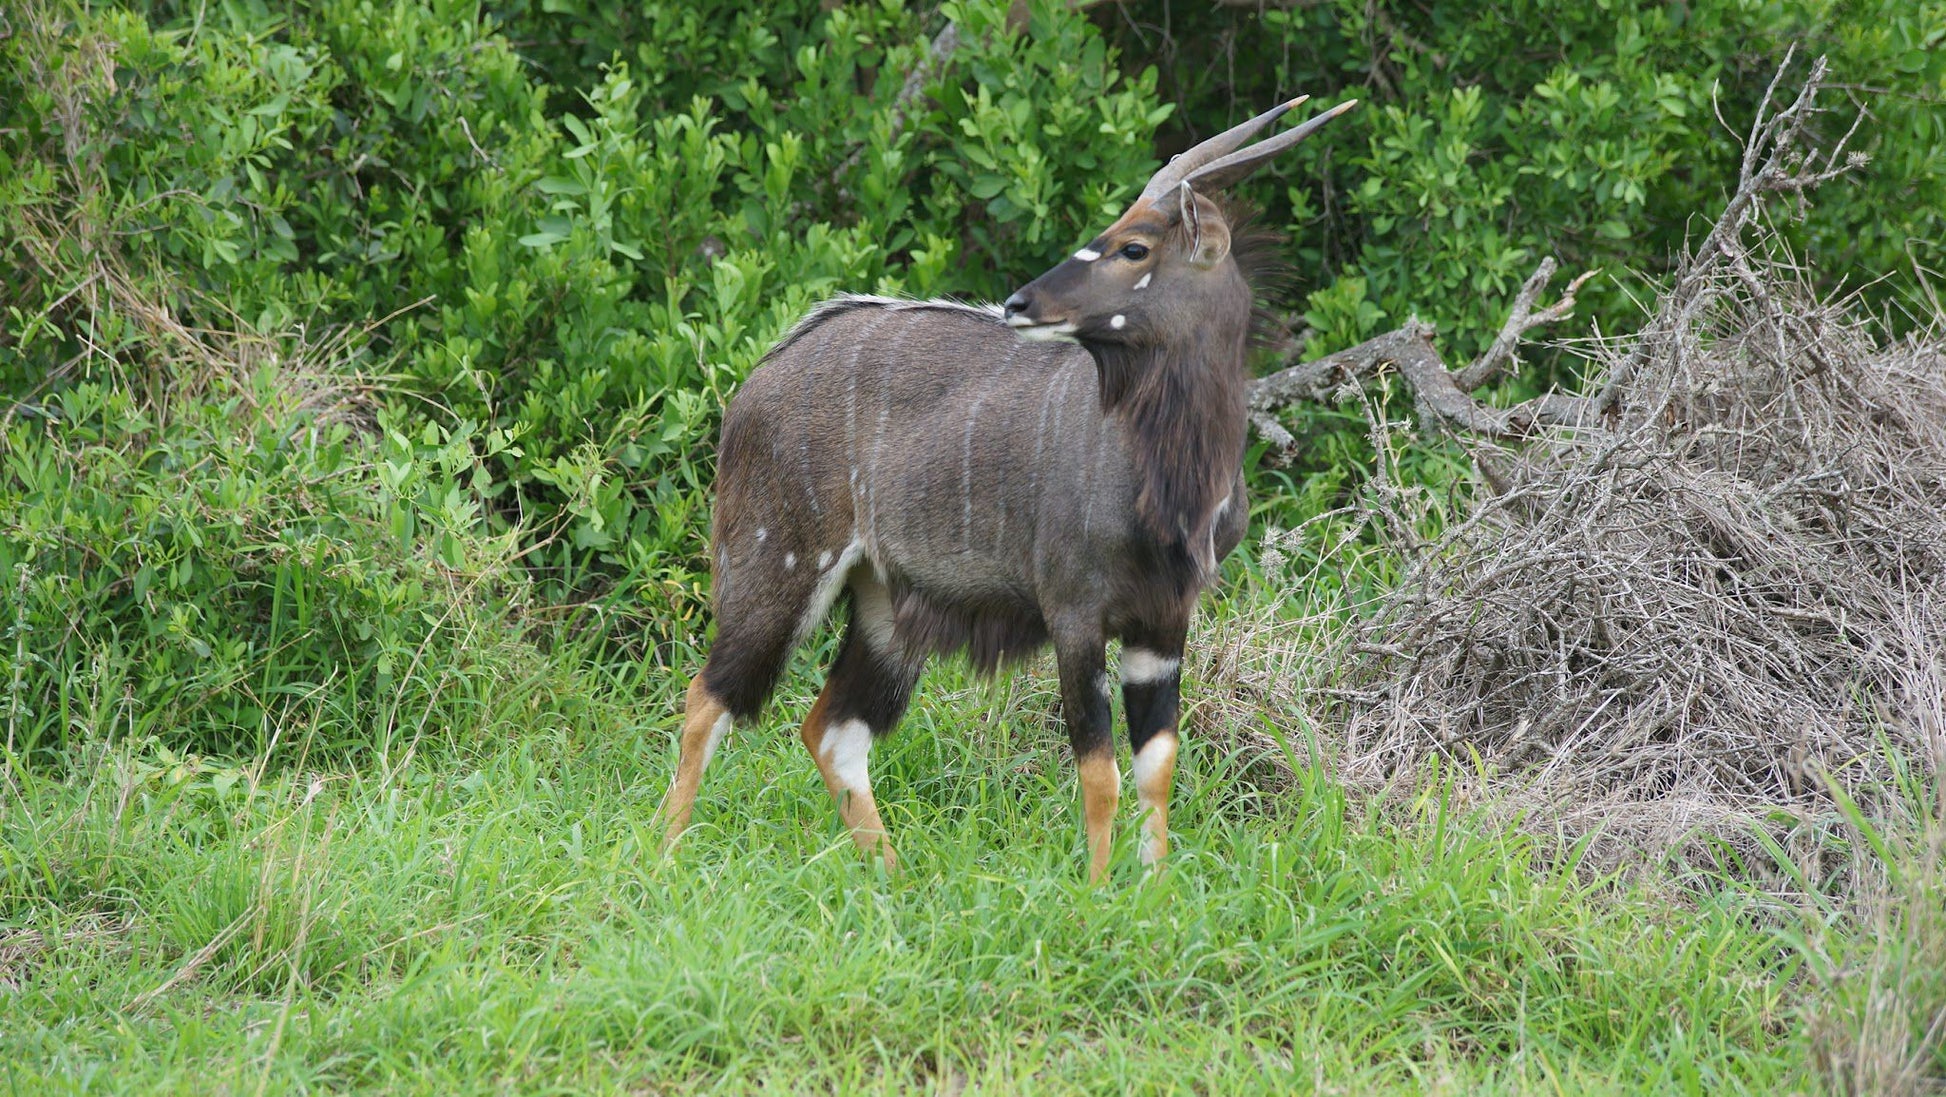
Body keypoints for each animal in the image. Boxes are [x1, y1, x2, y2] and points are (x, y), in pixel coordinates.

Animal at [653, 96, 1354, 883]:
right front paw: (1100, 890)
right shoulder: (1075, 613)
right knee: (707, 697)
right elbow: (1101, 771)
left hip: (884, 606)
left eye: (1133, 247)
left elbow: (1157, 768)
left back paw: (896, 879)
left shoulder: (1164, 621)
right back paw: (665, 860)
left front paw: (1154, 887)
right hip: (780, 567)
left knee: (831, 729)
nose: (1019, 302)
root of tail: (756, 381)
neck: (1164, 479)